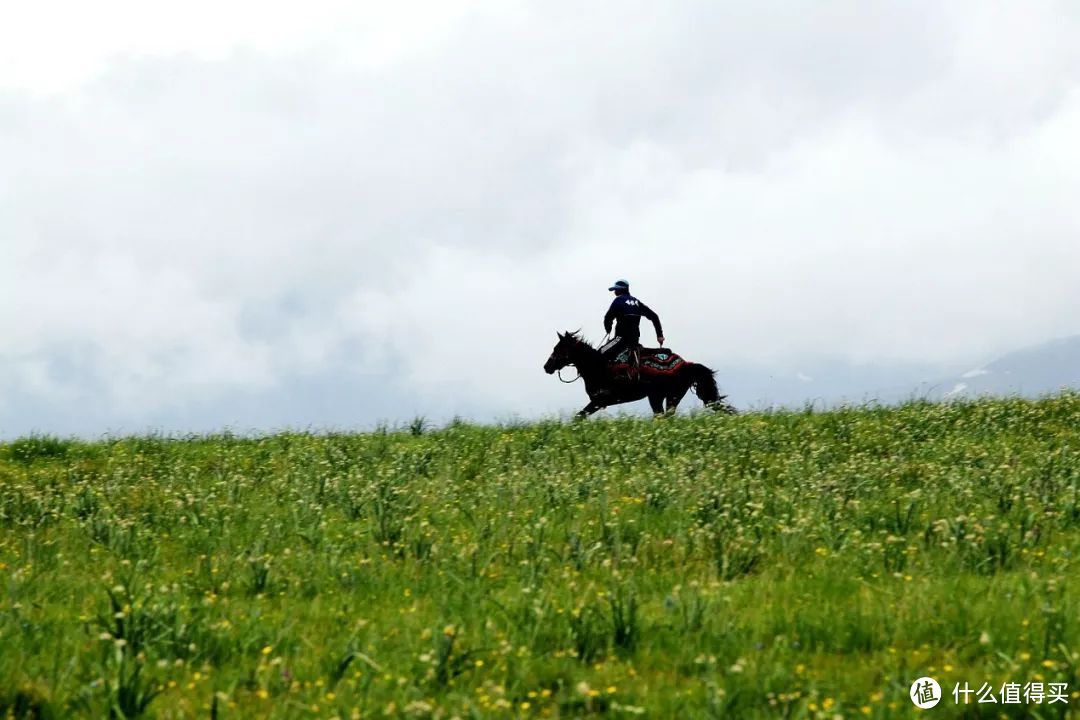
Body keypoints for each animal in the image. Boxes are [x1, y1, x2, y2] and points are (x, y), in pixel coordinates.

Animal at [544, 330, 738, 416]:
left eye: (558, 348)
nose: (547, 367)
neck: (596, 366)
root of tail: (686, 364)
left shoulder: (599, 401)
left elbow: (578, 417)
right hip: (664, 397)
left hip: (665, 396)